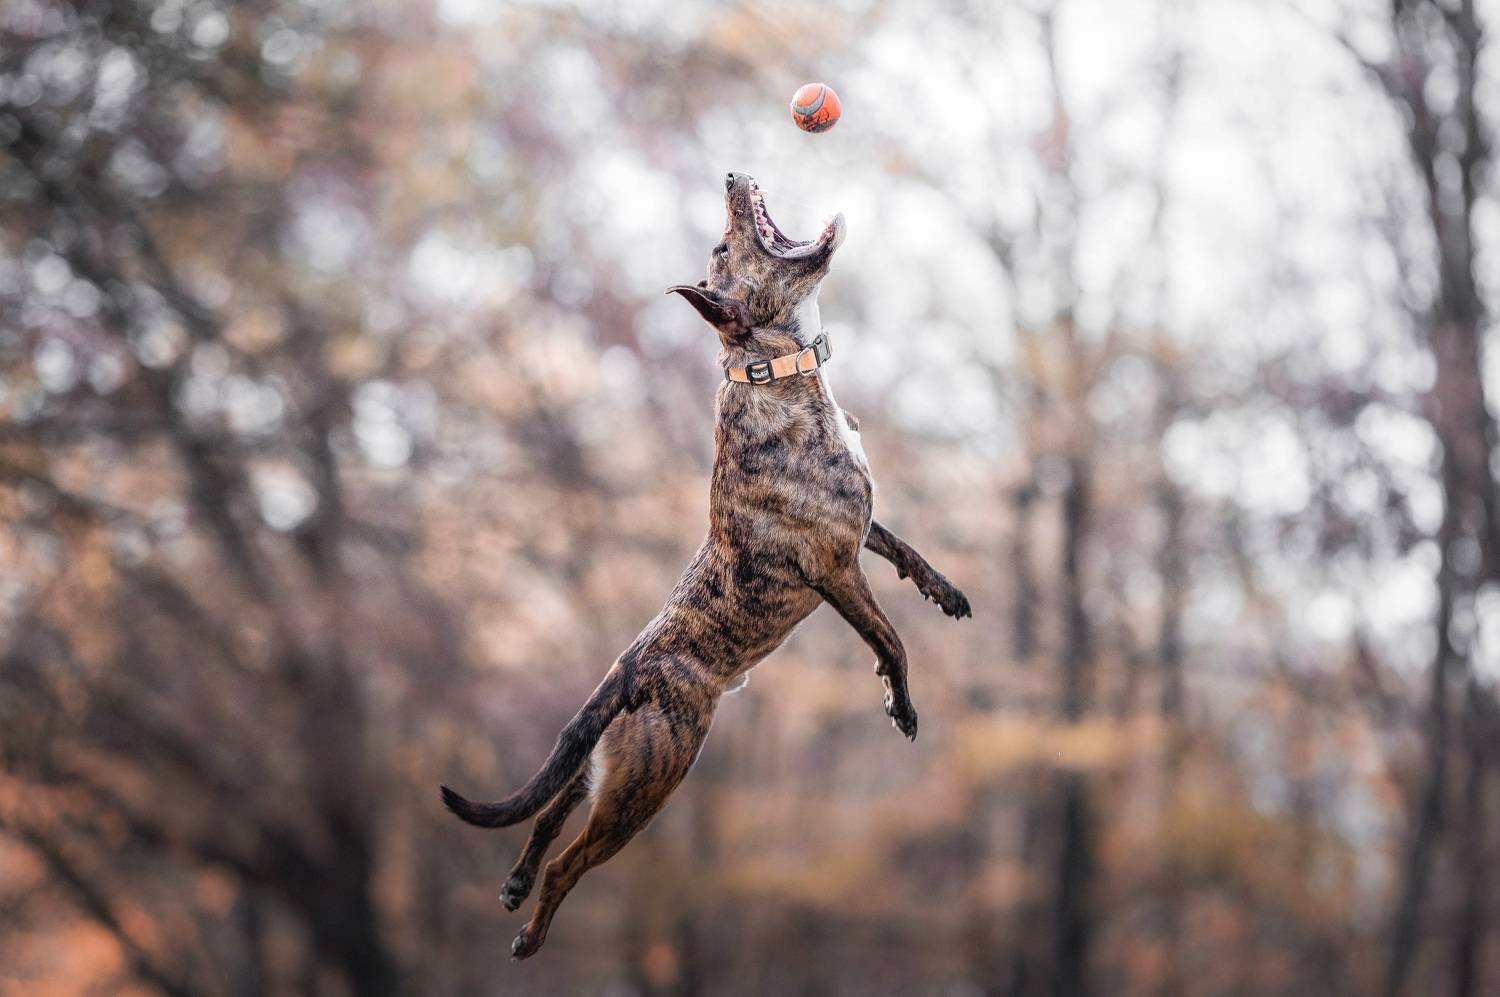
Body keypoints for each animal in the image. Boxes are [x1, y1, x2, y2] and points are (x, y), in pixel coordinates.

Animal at [442, 172, 972, 959]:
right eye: (723, 249)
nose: (730, 177)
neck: (772, 369)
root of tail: (629, 670)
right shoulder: (836, 567)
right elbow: (891, 640)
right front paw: (901, 704)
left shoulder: (861, 529)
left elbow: (905, 548)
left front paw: (946, 592)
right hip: (647, 784)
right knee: (571, 861)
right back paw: (531, 934)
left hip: (601, 767)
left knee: (548, 811)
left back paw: (514, 882)